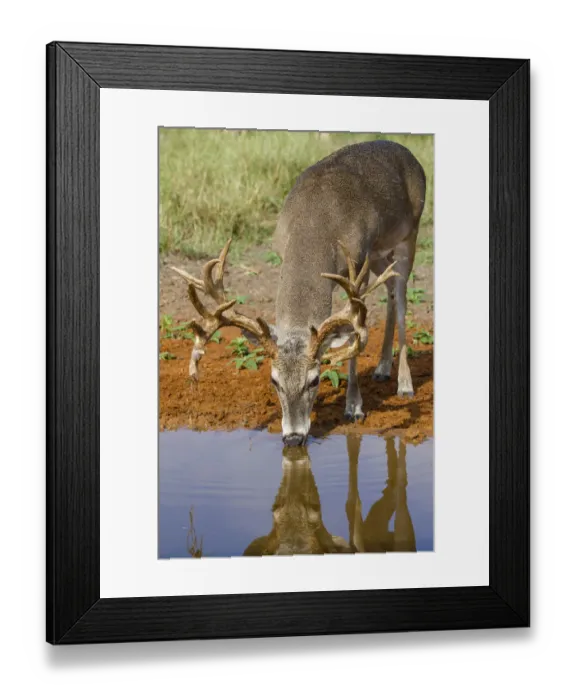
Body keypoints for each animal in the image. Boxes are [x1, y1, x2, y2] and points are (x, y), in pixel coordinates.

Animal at [169, 140, 426, 446]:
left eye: (315, 380)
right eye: (274, 380)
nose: (293, 438)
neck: (315, 224)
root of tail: (409, 153)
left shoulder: (359, 262)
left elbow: (355, 334)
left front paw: (354, 407)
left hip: (408, 235)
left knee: (401, 299)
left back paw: (404, 384)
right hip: (379, 254)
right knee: (390, 290)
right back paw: (382, 368)